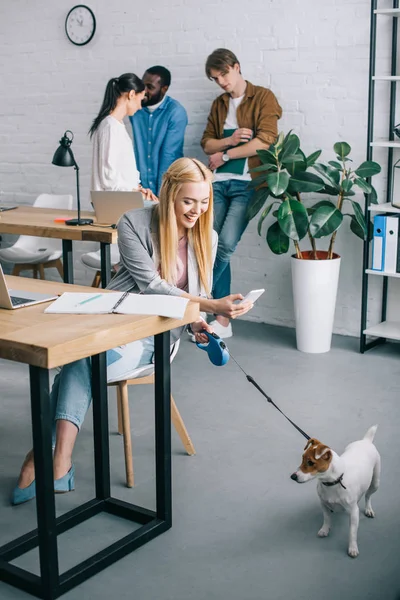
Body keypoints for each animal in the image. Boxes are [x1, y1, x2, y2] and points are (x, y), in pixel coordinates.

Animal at [290, 426, 382, 556]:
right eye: (302, 459)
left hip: (375, 483)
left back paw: (368, 509)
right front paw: (325, 529)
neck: (334, 482)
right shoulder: (323, 504)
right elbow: (327, 518)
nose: (293, 476)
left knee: (368, 495)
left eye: (311, 462)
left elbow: (352, 532)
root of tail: (366, 441)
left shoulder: (353, 512)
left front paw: (352, 547)